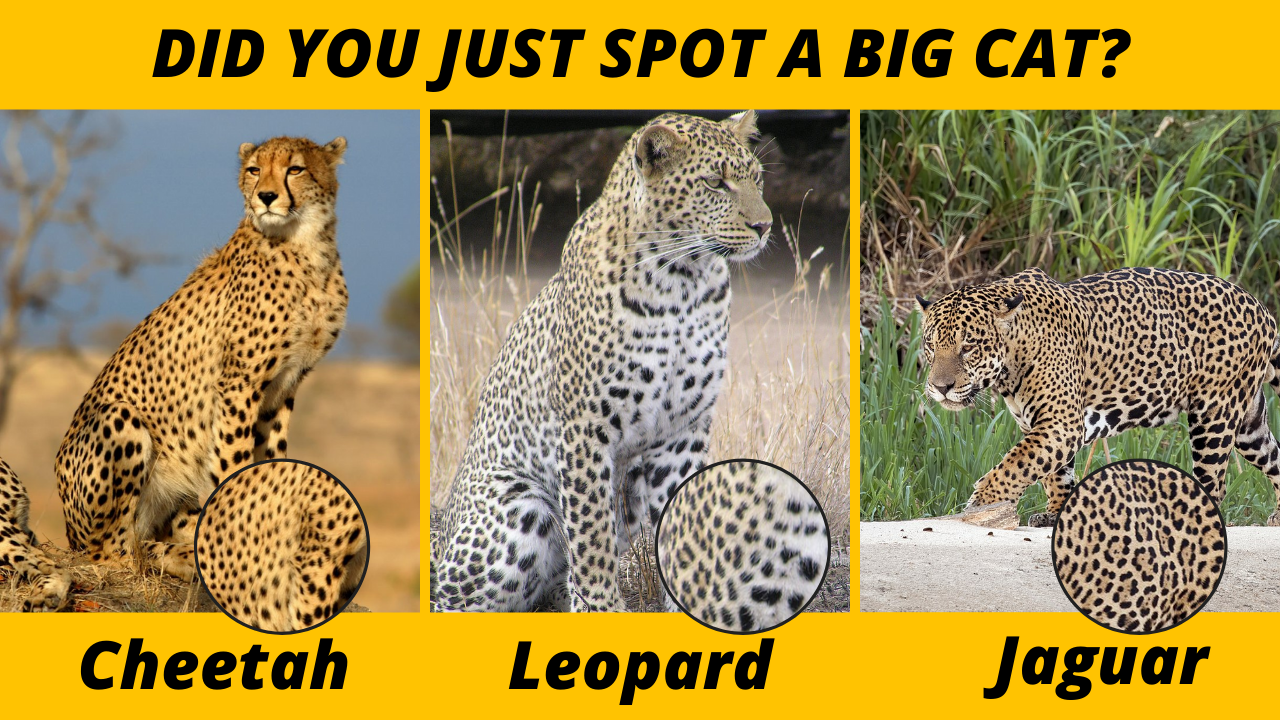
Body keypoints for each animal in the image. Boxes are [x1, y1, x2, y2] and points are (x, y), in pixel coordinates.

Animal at [56, 135, 349, 581]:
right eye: (254, 170)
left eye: (295, 169)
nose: (266, 196)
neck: (305, 247)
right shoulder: (239, 382)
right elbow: (234, 459)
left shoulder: (285, 384)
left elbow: (272, 457)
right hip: (119, 420)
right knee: (114, 554)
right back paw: (176, 558)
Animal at [433, 111, 773, 612]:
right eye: (715, 183)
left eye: (757, 179)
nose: (764, 226)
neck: (684, 284)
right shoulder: (584, 428)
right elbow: (591, 534)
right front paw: (603, 608)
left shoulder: (682, 431)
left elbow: (685, 516)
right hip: (518, 513)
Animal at [916, 266, 1280, 528]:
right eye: (931, 345)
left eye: (969, 346)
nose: (940, 387)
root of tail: (1262, 309)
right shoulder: (1042, 425)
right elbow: (1053, 473)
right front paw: (1055, 513)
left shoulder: (1060, 424)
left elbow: (1016, 464)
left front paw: (982, 503)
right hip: (1249, 423)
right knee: (1274, 456)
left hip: (1214, 416)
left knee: (1214, 483)